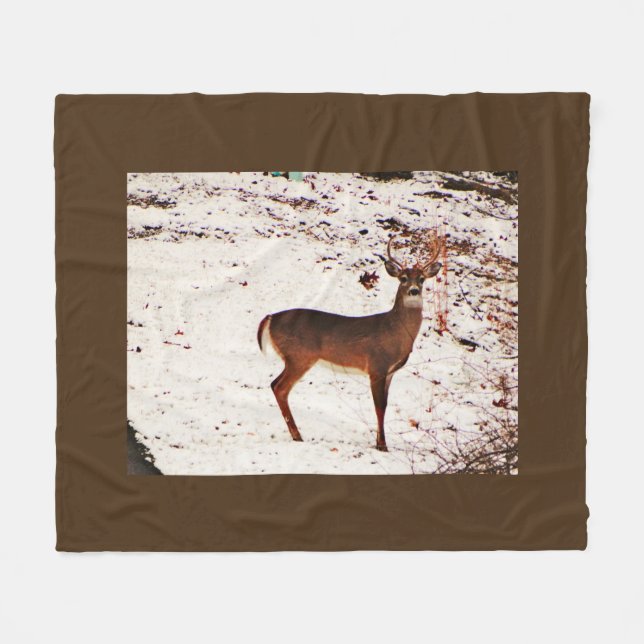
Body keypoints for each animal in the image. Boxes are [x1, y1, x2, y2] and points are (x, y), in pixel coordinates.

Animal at [257, 233, 443, 452]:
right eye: (403, 278)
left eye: (421, 279)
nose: (414, 291)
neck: (394, 331)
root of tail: (270, 318)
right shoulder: (377, 366)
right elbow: (379, 407)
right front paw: (382, 446)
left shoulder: (389, 372)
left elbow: (385, 405)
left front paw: (380, 442)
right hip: (299, 356)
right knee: (280, 387)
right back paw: (298, 436)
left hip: (295, 358)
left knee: (276, 385)